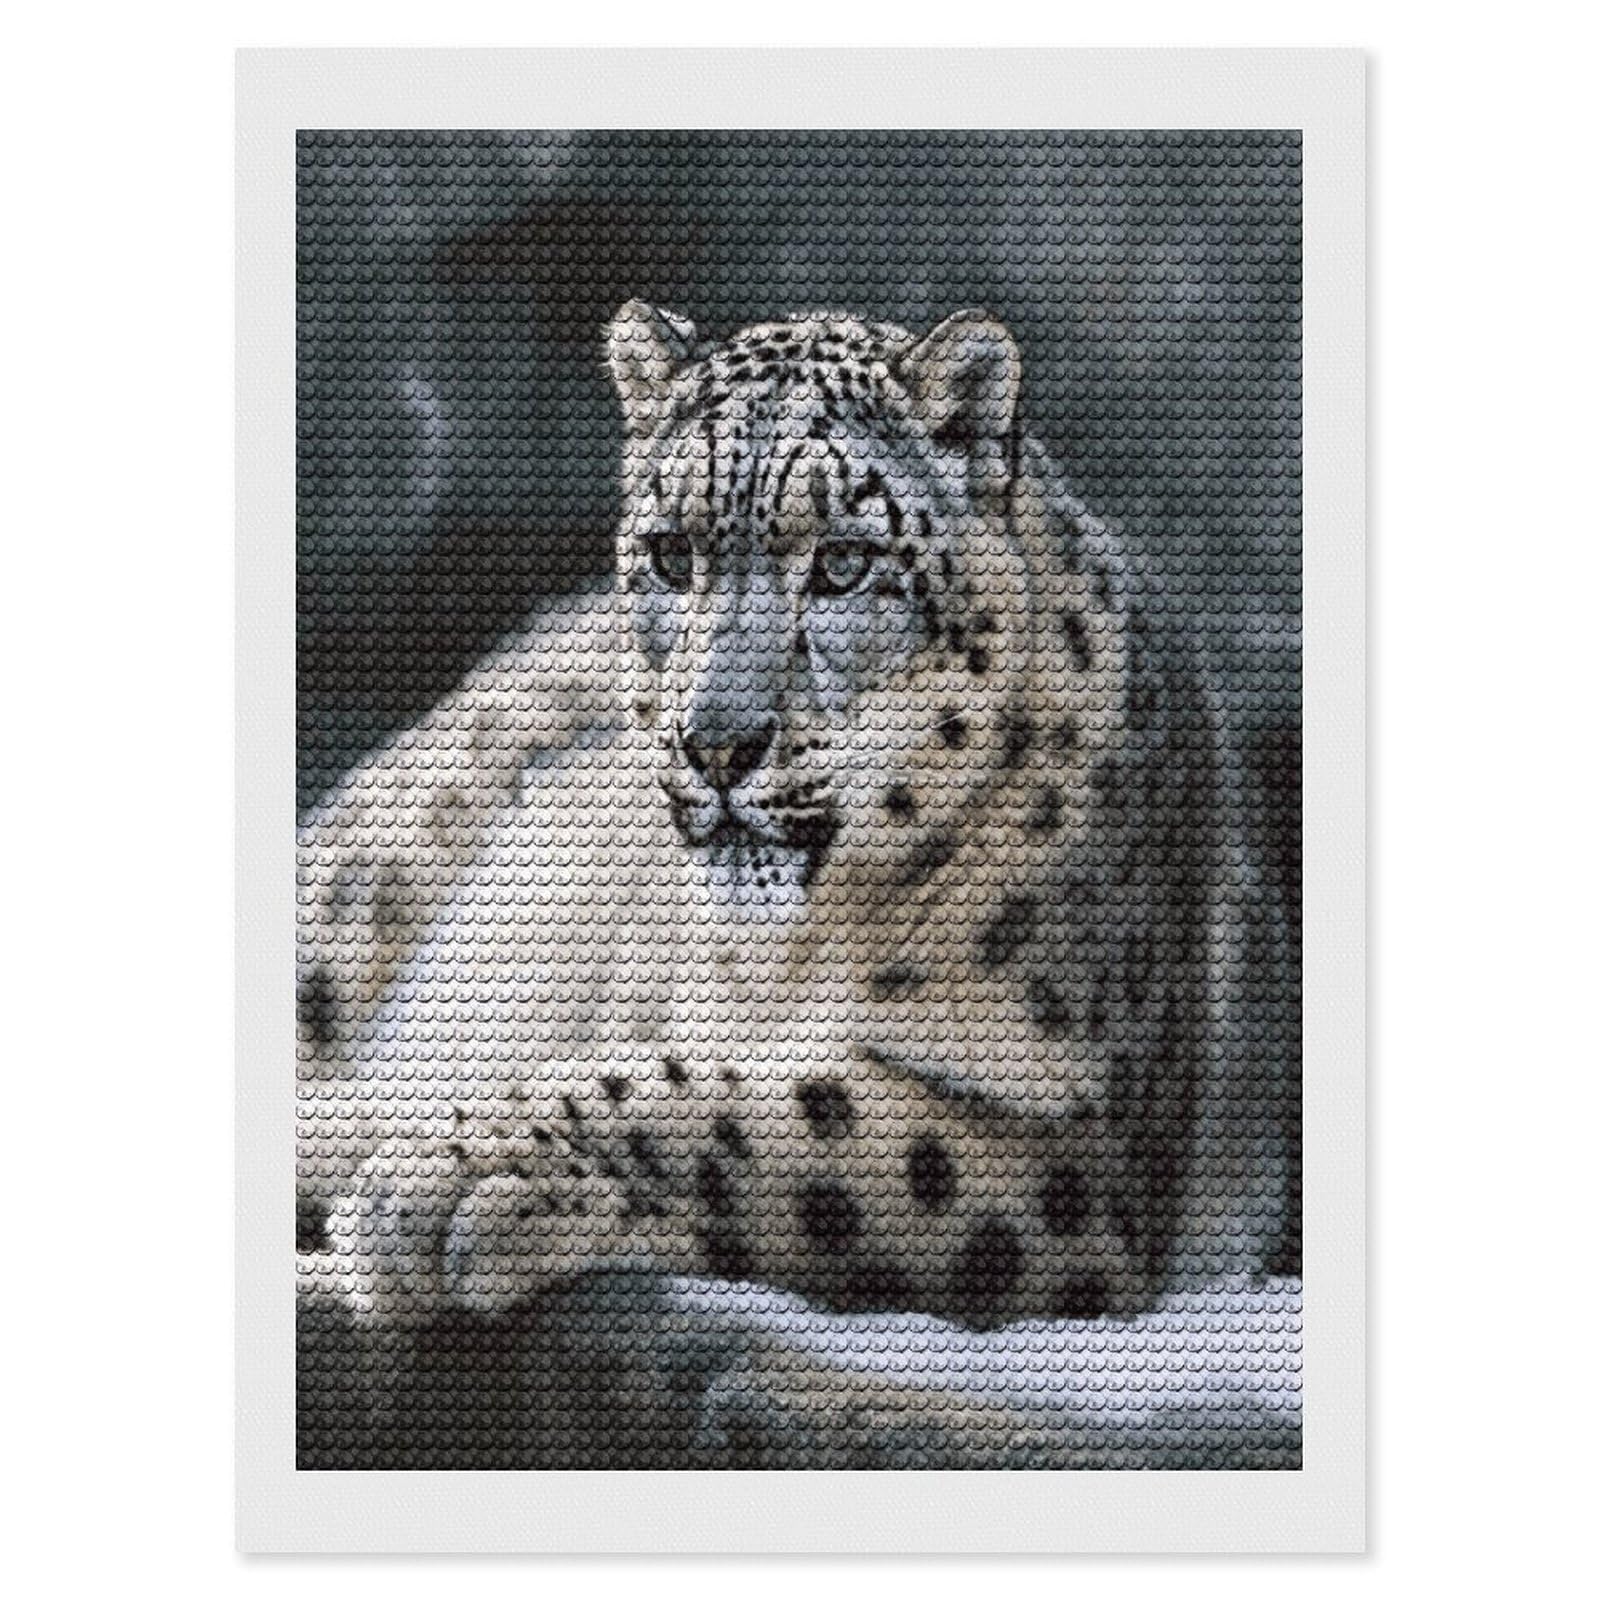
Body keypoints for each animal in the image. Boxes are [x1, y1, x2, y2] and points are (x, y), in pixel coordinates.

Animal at [296, 303, 1298, 1462]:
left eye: (844, 563)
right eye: (671, 553)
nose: (717, 742)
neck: (796, 948)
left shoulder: (1064, 1150)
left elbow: (743, 1112)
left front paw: (447, 1182)